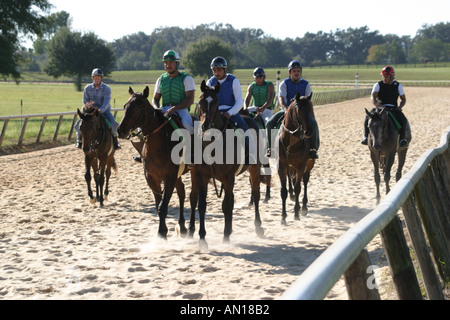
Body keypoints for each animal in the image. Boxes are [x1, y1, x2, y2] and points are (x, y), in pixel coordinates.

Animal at [117, 86, 196, 239]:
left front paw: (161, 232)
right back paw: (182, 227)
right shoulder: (152, 178)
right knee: (182, 191)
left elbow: (163, 207)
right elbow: (158, 206)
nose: (120, 130)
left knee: (193, 195)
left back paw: (191, 228)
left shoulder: (169, 177)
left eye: (137, 108)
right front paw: (163, 232)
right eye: (125, 106)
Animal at [192, 80, 266, 248]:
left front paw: (225, 237)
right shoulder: (202, 176)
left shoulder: (228, 177)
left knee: (255, 195)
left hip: (254, 168)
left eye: (215, 102)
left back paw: (258, 227)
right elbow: (202, 205)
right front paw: (202, 239)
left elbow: (226, 205)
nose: (206, 125)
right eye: (200, 101)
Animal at [276, 91, 314, 224]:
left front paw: (297, 213)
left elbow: (298, 188)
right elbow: (283, 191)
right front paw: (283, 216)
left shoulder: (300, 166)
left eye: (311, 108)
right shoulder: (281, 166)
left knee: (305, 180)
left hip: (309, 163)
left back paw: (304, 206)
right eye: (299, 110)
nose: (309, 132)